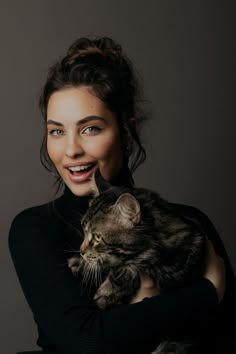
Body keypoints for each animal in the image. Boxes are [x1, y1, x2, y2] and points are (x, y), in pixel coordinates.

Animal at [68, 169, 206, 354]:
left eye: (97, 238)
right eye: (84, 231)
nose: (81, 251)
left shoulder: (181, 259)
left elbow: (129, 266)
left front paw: (105, 293)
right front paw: (80, 264)